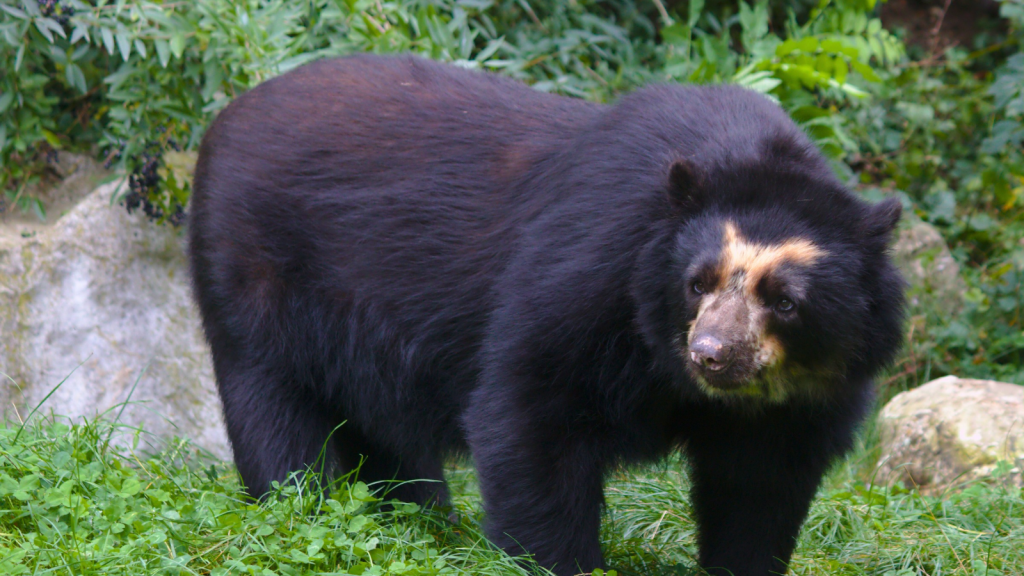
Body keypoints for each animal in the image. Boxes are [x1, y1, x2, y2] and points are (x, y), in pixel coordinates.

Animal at [190, 53, 905, 573]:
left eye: (785, 301)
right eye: (697, 284)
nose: (711, 354)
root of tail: (226, 117)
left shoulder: (805, 394)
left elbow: (762, 483)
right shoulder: (591, 272)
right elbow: (531, 411)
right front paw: (559, 562)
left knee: (387, 427)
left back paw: (423, 521)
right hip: (254, 276)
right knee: (275, 408)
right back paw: (302, 508)